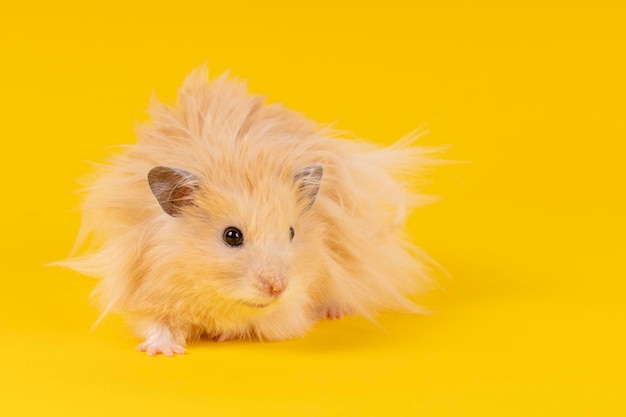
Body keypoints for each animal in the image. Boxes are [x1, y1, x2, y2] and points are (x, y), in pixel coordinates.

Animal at [61, 65, 436, 354]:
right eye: (232, 236)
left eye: (292, 232)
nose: (277, 288)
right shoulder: (145, 286)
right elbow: (158, 322)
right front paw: (163, 351)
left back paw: (335, 310)